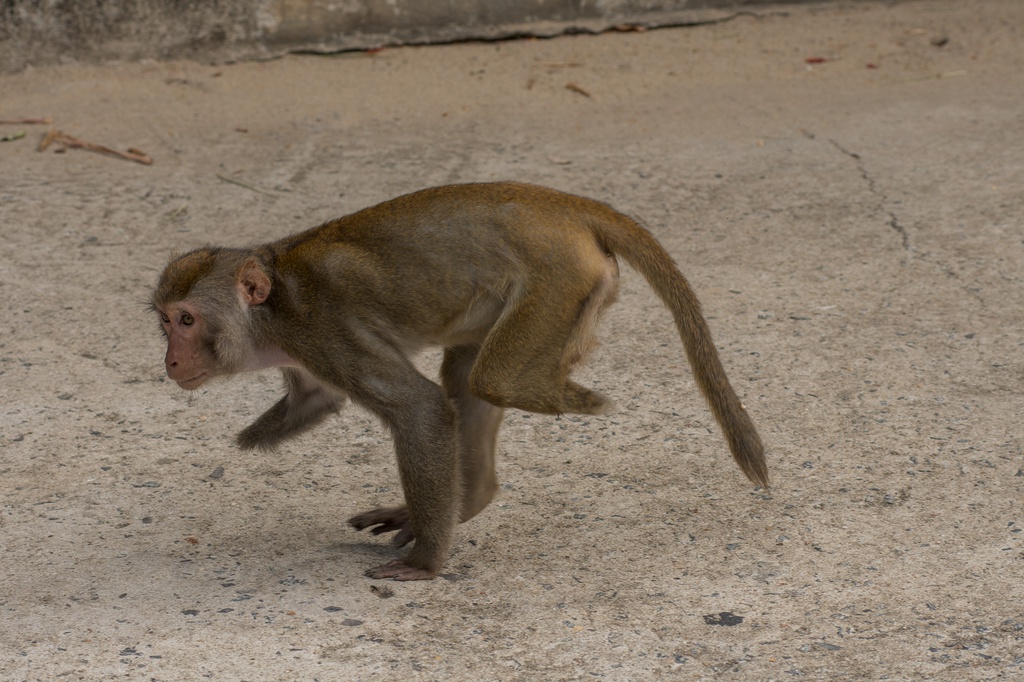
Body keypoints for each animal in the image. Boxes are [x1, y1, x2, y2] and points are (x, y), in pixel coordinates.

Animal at [151, 180, 770, 577]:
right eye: (164, 321)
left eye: (188, 320)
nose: (170, 362)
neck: (271, 306)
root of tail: (566, 205)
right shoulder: (305, 353)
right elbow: (317, 401)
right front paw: (248, 438)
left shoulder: (321, 332)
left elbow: (419, 408)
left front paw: (426, 565)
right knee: (471, 377)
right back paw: (469, 500)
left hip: (558, 279)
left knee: (495, 379)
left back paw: (572, 397)